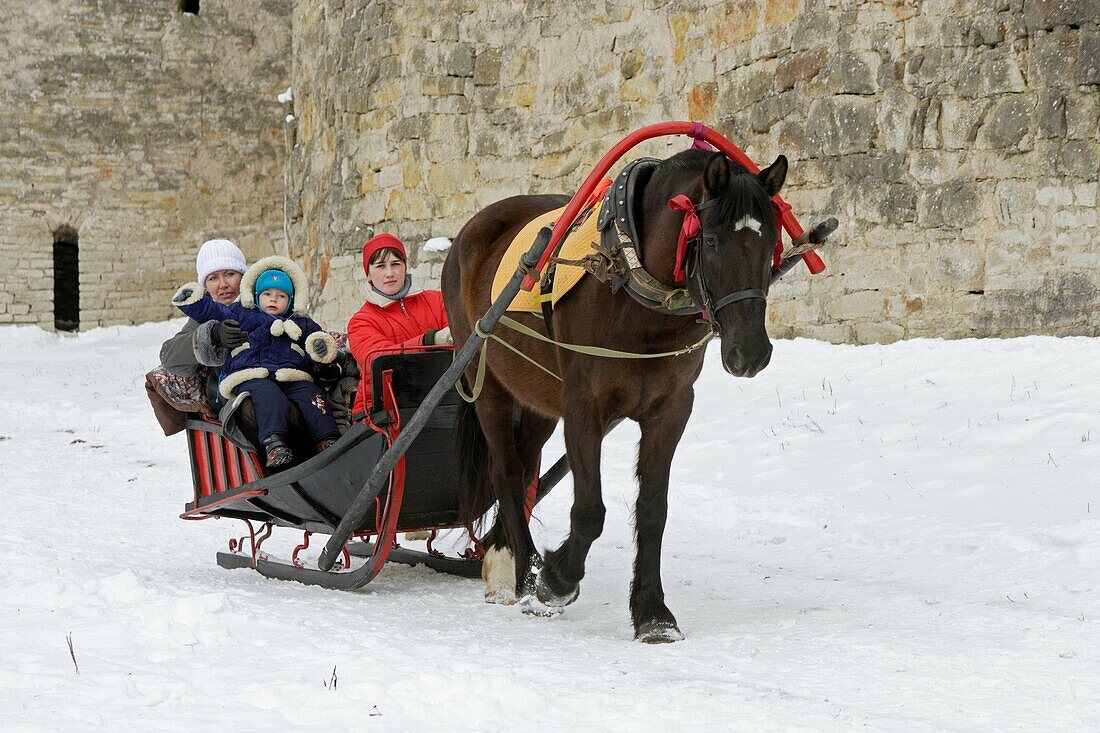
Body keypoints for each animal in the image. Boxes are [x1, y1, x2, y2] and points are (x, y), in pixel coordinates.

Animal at [442, 148, 787, 638]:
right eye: (712, 241)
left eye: (771, 240)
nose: (751, 353)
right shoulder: (584, 406)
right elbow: (589, 510)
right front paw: (555, 581)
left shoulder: (671, 410)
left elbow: (653, 510)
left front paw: (653, 613)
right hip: (486, 381)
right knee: (506, 474)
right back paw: (526, 574)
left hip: (538, 400)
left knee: (525, 470)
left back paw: (505, 558)